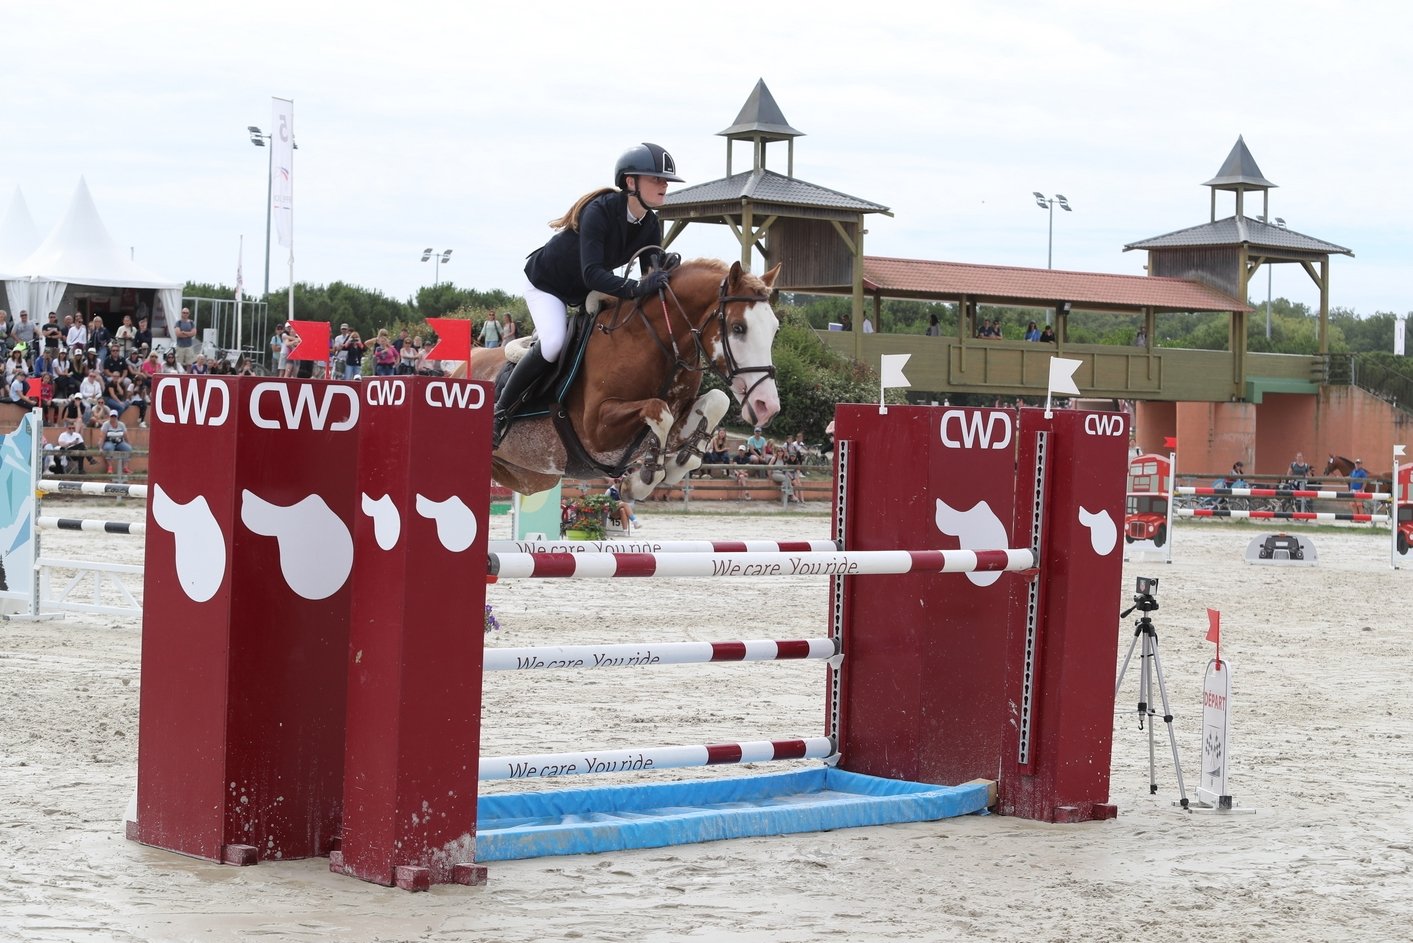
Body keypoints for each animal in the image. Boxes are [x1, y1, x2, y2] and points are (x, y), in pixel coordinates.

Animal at [471, 254, 785, 497]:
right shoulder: (596, 430)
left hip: (531, 476)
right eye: (738, 327)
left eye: (775, 329)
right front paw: (643, 480)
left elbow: (717, 400)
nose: (766, 406)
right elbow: (658, 410)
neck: (654, 343)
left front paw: (679, 464)